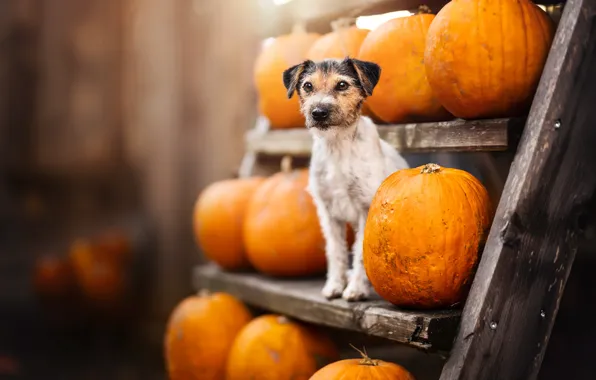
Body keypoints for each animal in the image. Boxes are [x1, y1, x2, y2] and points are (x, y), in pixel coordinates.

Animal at [282, 58, 408, 302]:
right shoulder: (328, 213)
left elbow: (359, 252)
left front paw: (356, 289)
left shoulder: (365, 208)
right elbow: (336, 251)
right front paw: (334, 285)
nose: (318, 112)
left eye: (342, 85)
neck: (338, 145)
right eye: (307, 86)